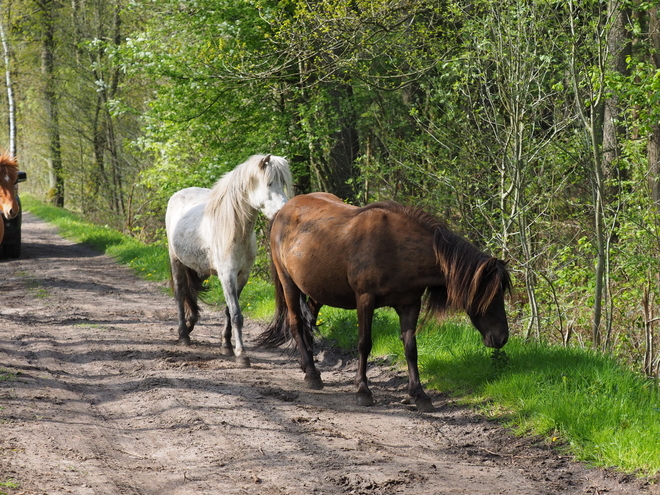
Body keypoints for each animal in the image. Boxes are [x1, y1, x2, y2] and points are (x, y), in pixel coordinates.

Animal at [164, 155, 292, 368]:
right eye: (269, 183)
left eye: (282, 183)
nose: (282, 211)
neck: (235, 229)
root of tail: (179, 194)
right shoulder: (227, 276)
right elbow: (236, 315)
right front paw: (242, 355)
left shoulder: (242, 276)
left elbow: (228, 312)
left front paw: (226, 345)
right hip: (176, 262)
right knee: (180, 293)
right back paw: (183, 335)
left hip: (199, 267)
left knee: (191, 292)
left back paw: (190, 325)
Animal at [258, 192, 510, 412]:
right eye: (492, 295)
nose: (502, 338)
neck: (396, 248)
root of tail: (283, 211)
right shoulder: (365, 300)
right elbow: (364, 343)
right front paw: (363, 390)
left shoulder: (410, 305)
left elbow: (411, 348)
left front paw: (419, 395)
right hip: (289, 285)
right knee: (296, 324)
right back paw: (311, 374)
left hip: (318, 290)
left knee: (309, 321)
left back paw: (308, 365)